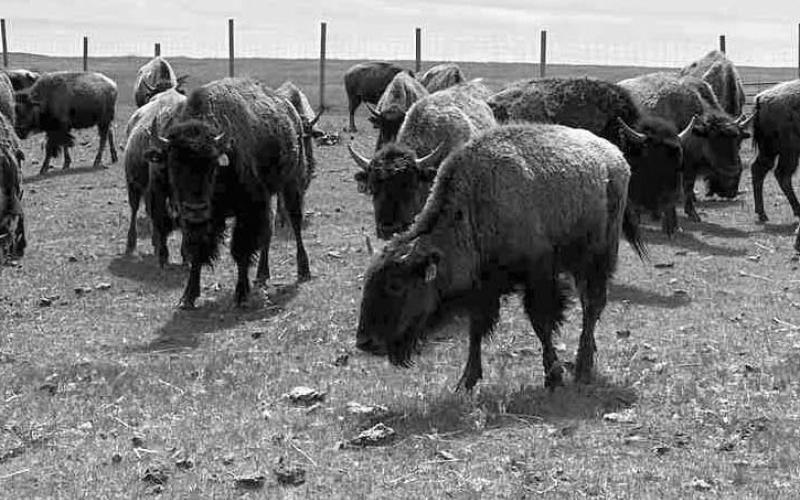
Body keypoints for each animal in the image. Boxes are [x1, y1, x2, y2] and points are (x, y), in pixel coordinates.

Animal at [124, 88, 187, 265]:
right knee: (135, 210)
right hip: (133, 185)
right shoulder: (157, 192)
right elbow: (159, 217)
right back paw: (131, 246)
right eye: (174, 160)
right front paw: (163, 255)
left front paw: (186, 256)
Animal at [146, 78, 310, 308]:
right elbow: (197, 251)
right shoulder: (201, 220)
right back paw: (262, 275)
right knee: (268, 233)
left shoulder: (248, 209)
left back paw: (303, 270)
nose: (196, 209)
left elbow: (240, 251)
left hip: (292, 183)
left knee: (295, 223)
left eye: (212, 165)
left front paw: (241, 294)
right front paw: (188, 296)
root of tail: (290, 111)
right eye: (173, 164)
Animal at [356, 123, 646, 390]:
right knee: (590, 305)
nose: (365, 342)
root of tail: (616, 157)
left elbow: (542, 323)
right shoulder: (482, 288)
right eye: (367, 283)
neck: (474, 207)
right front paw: (467, 380)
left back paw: (583, 366)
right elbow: (476, 330)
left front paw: (553, 376)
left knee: (592, 305)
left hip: (597, 256)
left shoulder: (538, 275)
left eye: (396, 285)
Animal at [619, 72, 752, 222]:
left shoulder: (690, 166)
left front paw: (692, 212)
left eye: (738, 142)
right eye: (715, 141)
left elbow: (688, 187)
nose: (731, 190)